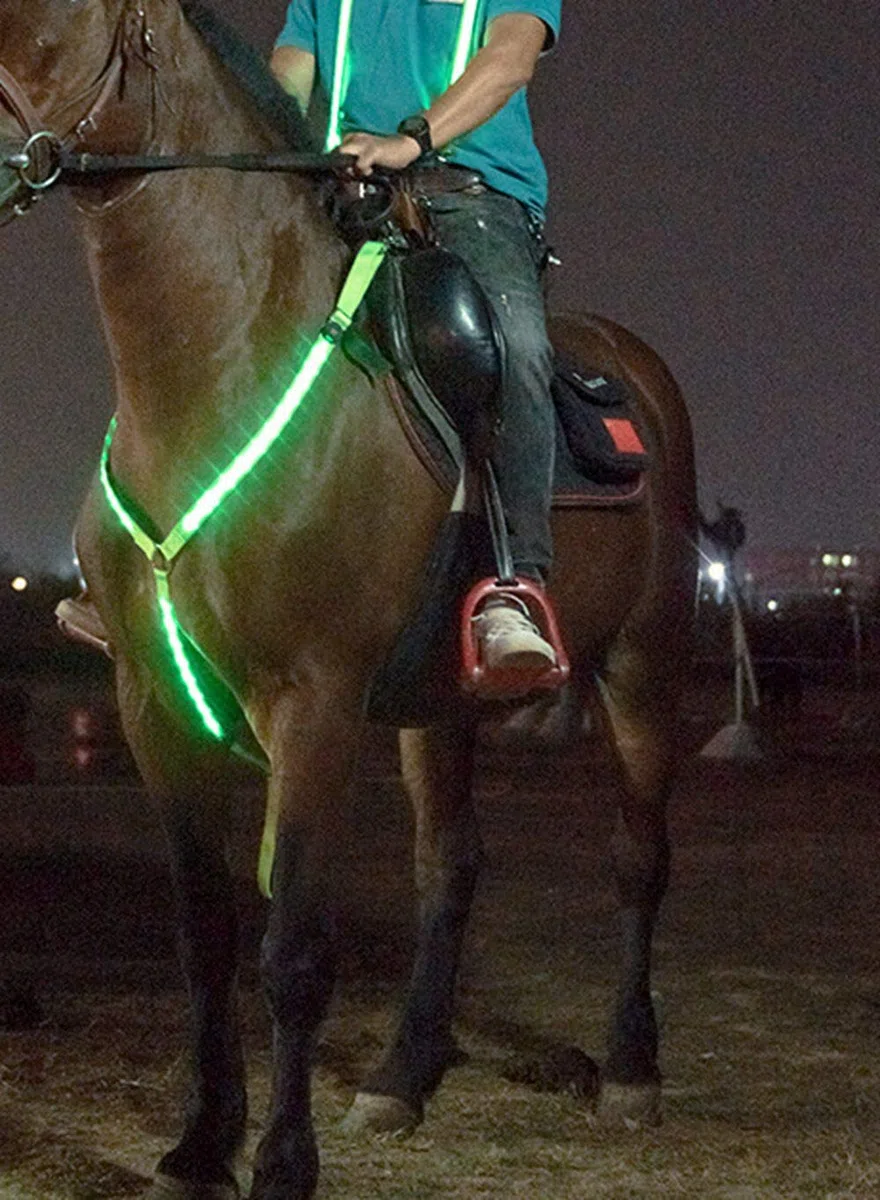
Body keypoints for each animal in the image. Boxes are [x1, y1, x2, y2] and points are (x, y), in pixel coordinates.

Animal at [0, 2, 697, 1197]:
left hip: (641, 668)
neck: (217, 363)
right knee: (449, 869)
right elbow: (207, 936)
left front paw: (281, 1162)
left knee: (636, 861)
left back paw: (631, 1072)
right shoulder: (153, 706)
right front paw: (201, 1145)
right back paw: (405, 1074)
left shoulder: (313, 706)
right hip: (442, 706)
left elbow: (293, 950)